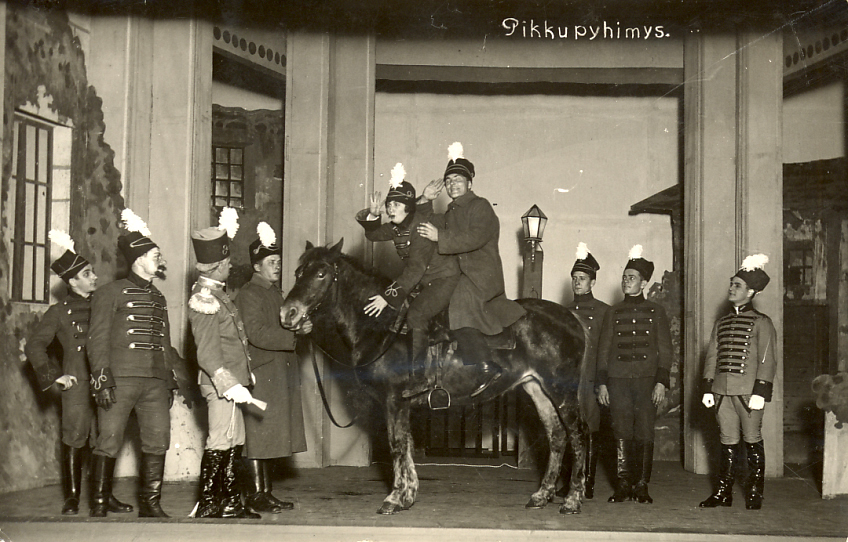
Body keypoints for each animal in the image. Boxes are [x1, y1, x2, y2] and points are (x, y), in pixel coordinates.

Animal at [280, 239, 588, 515]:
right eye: (298, 272)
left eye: (321, 274)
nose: (288, 313)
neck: (384, 328)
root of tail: (572, 320)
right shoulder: (400, 404)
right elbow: (406, 445)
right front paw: (407, 496)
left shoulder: (394, 400)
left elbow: (396, 444)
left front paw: (394, 498)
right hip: (536, 387)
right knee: (557, 436)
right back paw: (542, 495)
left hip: (561, 389)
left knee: (578, 435)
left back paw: (572, 500)